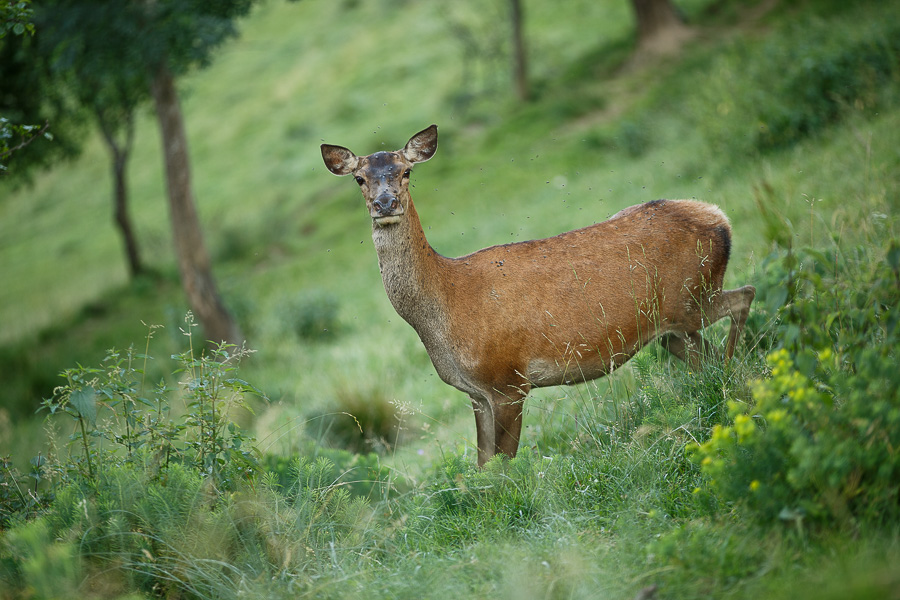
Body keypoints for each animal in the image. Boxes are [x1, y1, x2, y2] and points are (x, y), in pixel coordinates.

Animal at [320, 124, 756, 466]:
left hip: (691, 297)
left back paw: (733, 379)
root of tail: (721, 218)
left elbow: (503, 464)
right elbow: (483, 464)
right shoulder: (476, 394)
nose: (385, 203)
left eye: (406, 170)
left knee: (745, 296)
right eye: (360, 178)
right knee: (705, 353)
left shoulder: (508, 381)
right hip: (671, 328)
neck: (446, 303)